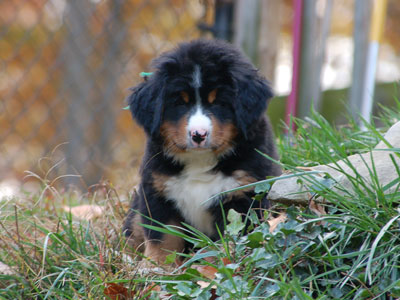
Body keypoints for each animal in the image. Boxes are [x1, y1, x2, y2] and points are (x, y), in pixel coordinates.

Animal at [124, 39, 282, 264]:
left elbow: (228, 239)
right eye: (179, 102)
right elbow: (163, 238)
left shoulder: (243, 195)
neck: (199, 161)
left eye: (219, 102)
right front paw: (157, 266)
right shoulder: (158, 192)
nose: (198, 134)